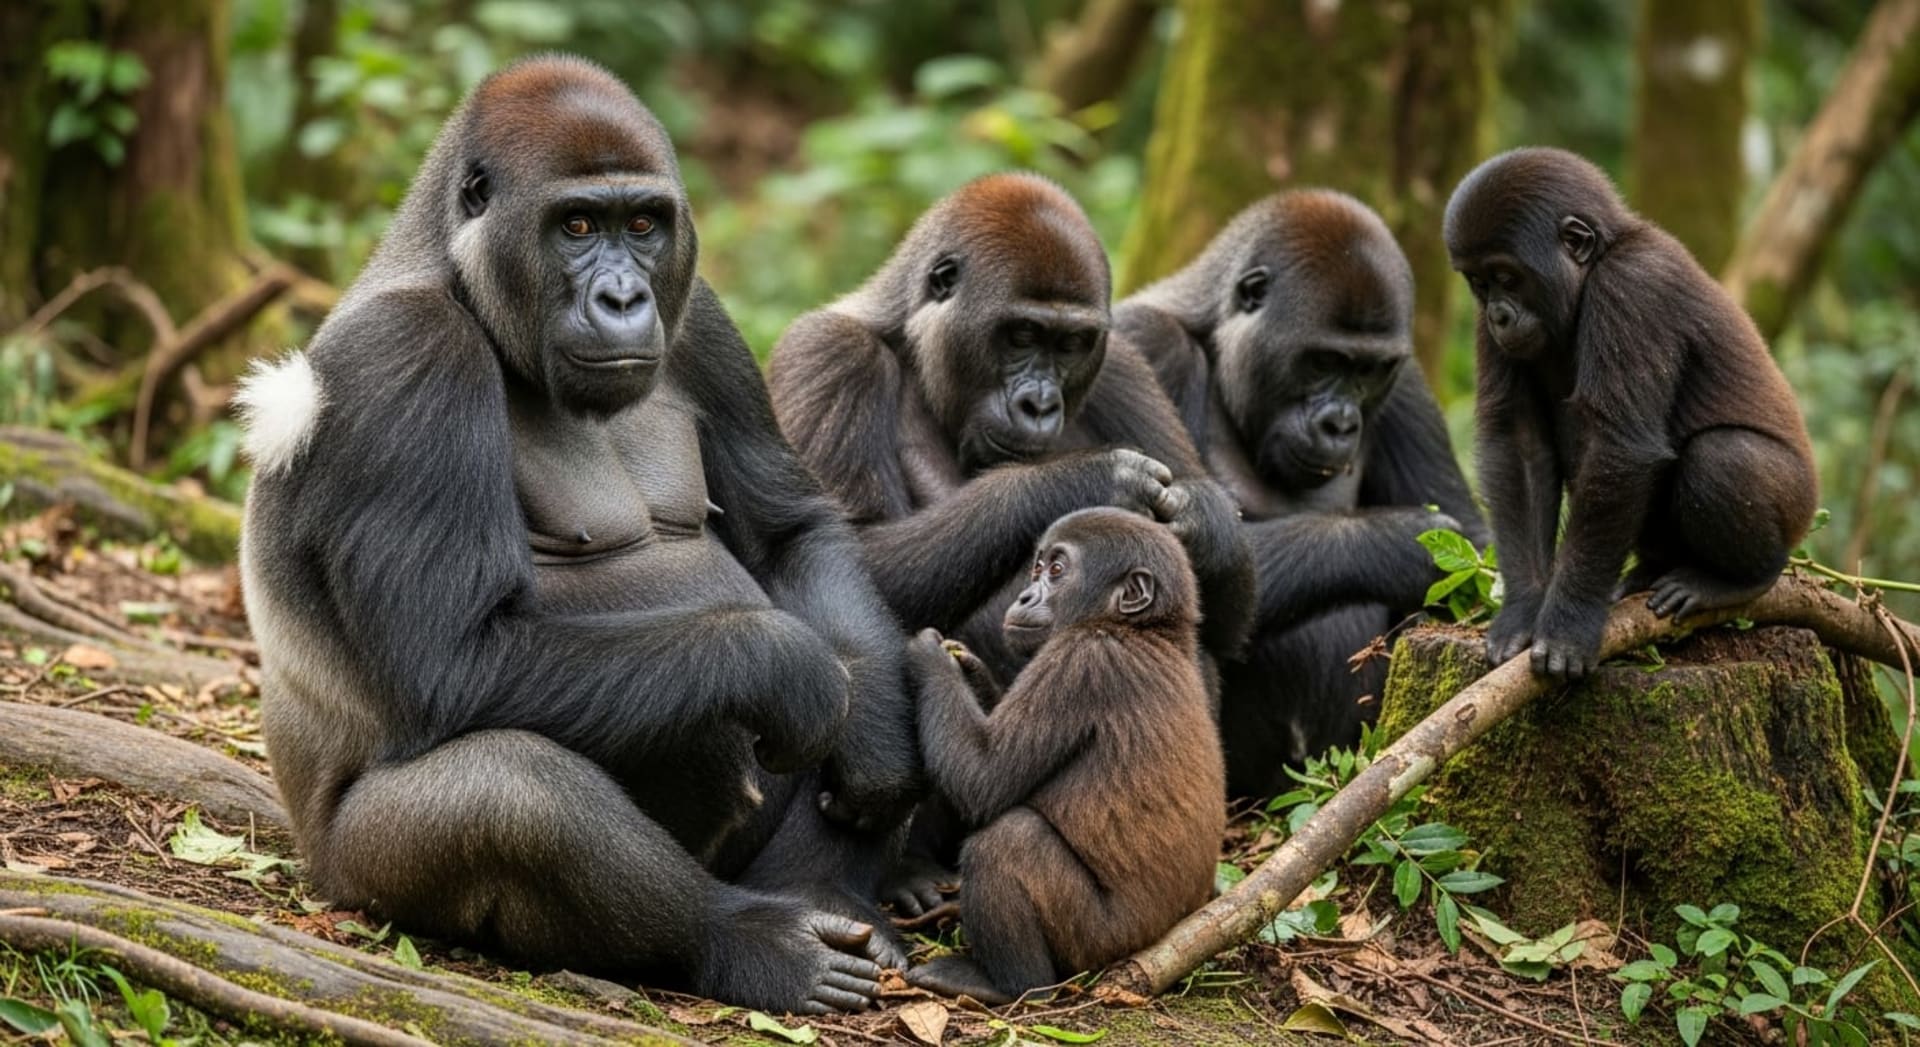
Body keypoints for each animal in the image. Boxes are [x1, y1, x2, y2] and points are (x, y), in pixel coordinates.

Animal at [236, 56, 920, 1014]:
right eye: (577, 225)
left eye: (642, 224)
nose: (625, 296)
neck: (452, 270)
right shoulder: (409, 356)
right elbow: (456, 660)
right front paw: (782, 666)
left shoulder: (702, 311)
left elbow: (794, 533)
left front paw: (877, 733)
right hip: (353, 875)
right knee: (518, 793)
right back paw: (742, 938)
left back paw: (823, 890)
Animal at [769, 172, 1254, 912]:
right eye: (1022, 334)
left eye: (1071, 345)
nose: (1040, 405)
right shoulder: (825, 356)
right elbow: (827, 552)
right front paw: (1074, 480)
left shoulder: (1123, 363)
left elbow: (1215, 607)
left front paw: (1200, 517)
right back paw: (908, 872)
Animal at [901, 507, 1226, 1005]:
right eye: (1036, 569)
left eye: (1056, 570)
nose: (1025, 595)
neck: (1146, 630)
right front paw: (969, 670)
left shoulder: (1083, 661)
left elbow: (982, 780)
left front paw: (929, 658)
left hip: (1100, 944)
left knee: (1010, 839)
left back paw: (1015, 985)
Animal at [1115, 191, 1486, 792]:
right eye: (1325, 361)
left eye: (1369, 371)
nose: (1340, 424)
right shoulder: (1144, 341)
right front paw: (1403, 542)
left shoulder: (1406, 382)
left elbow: (1477, 550)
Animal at [1444, 147, 1816, 678]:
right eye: (1479, 283)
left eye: (1508, 278)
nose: (1498, 315)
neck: (1598, 259)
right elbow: (1519, 445)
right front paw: (1522, 610)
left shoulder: (1634, 285)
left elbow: (1621, 445)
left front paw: (1568, 624)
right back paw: (1652, 568)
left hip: (1798, 508)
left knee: (1723, 456)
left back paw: (1743, 579)